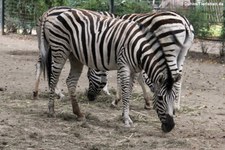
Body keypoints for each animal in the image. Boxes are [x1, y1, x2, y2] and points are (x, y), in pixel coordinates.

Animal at [40, 7, 179, 132]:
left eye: (174, 97)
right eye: (160, 98)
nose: (170, 127)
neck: (138, 48)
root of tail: (54, 13)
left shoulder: (134, 70)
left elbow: (129, 91)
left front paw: (125, 114)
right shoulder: (124, 65)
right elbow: (126, 92)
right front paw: (126, 119)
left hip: (74, 56)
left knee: (70, 81)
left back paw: (78, 113)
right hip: (60, 49)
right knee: (54, 78)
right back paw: (51, 110)